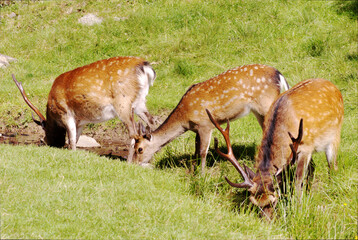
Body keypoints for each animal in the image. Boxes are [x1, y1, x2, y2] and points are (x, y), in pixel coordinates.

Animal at [11, 55, 157, 158]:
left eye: (42, 139)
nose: (45, 143)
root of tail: (145, 67)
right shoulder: (80, 121)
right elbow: (75, 139)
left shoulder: (65, 113)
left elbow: (71, 140)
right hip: (140, 102)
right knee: (152, 122)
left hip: (123, 103)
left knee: (134, 133)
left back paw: (130, 161)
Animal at [130, 64, 290, 171]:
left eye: (139, 149)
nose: (133, 165)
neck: (184, 119)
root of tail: (279, 75)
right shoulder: (196, 129)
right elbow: (196, 148)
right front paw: (193, 168)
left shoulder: (205, 124)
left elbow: (202, 151)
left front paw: (202, 173)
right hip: (258, 111)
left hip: (267, 102)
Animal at [207, 78, 344, 219]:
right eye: (254, 204)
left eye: (273, 201)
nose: (267, 221)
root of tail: (333, 86)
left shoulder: (305, 147)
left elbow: (297, 179)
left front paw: (298, 208)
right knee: (313, 167)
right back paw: (309, 192)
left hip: (335, 133)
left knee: (332, 167)